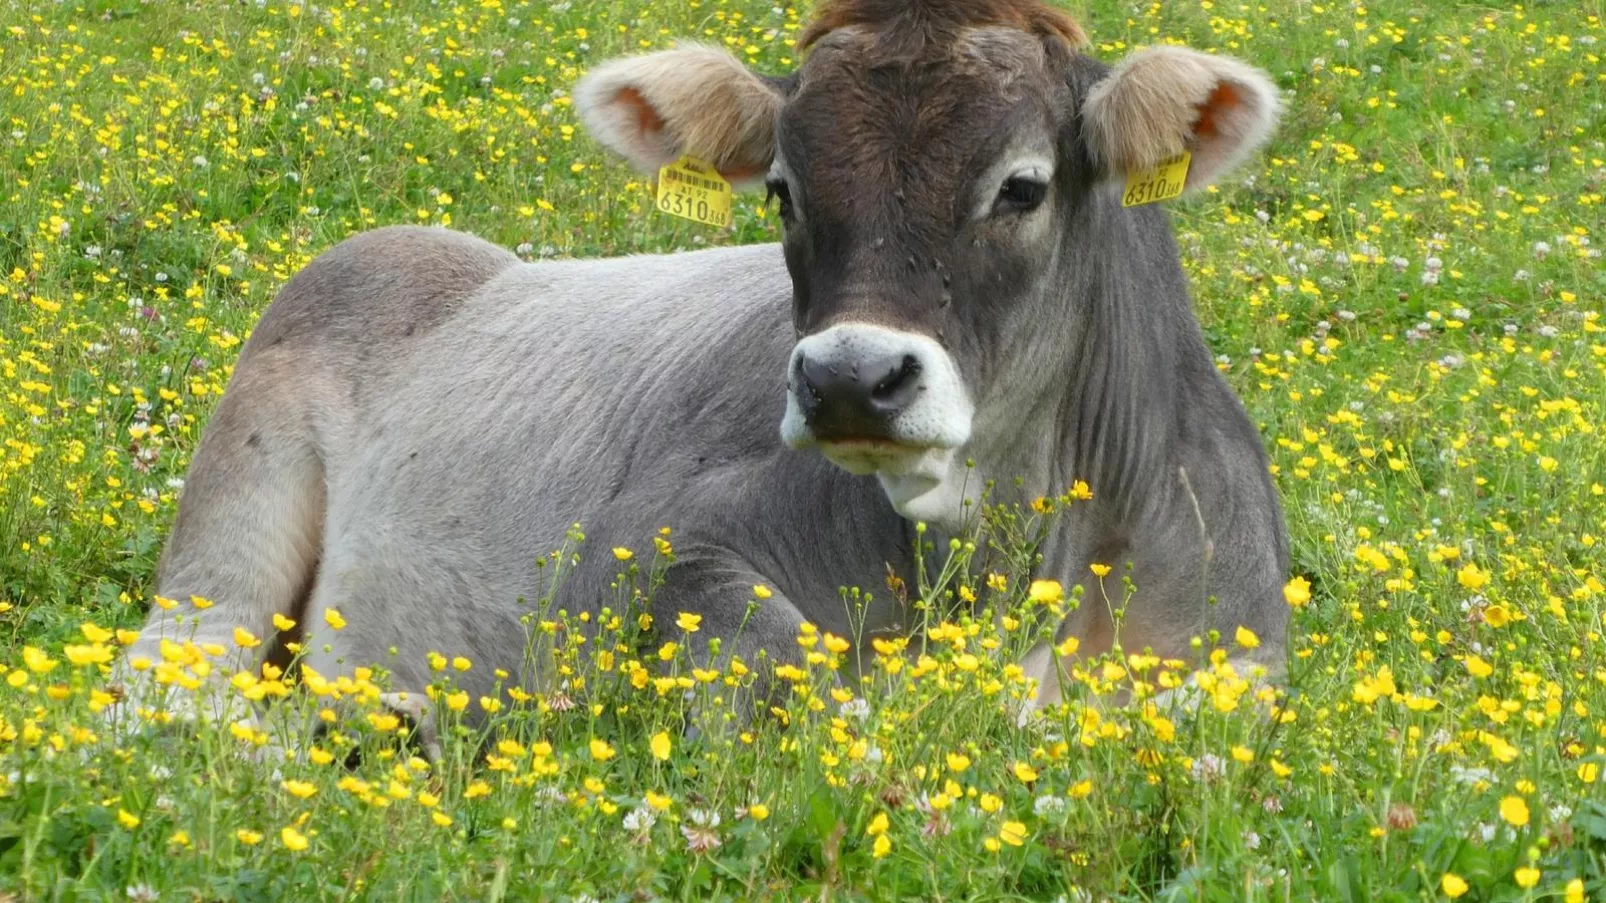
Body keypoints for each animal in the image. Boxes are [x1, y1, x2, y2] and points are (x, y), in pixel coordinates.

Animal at [106, 0, 1291, 735]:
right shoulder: (641, 557)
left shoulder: (1245, 650)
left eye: (1022, 186)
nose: (850, 378)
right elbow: (806, 682)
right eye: (781, 188)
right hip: (227, 538)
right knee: (166, 688)